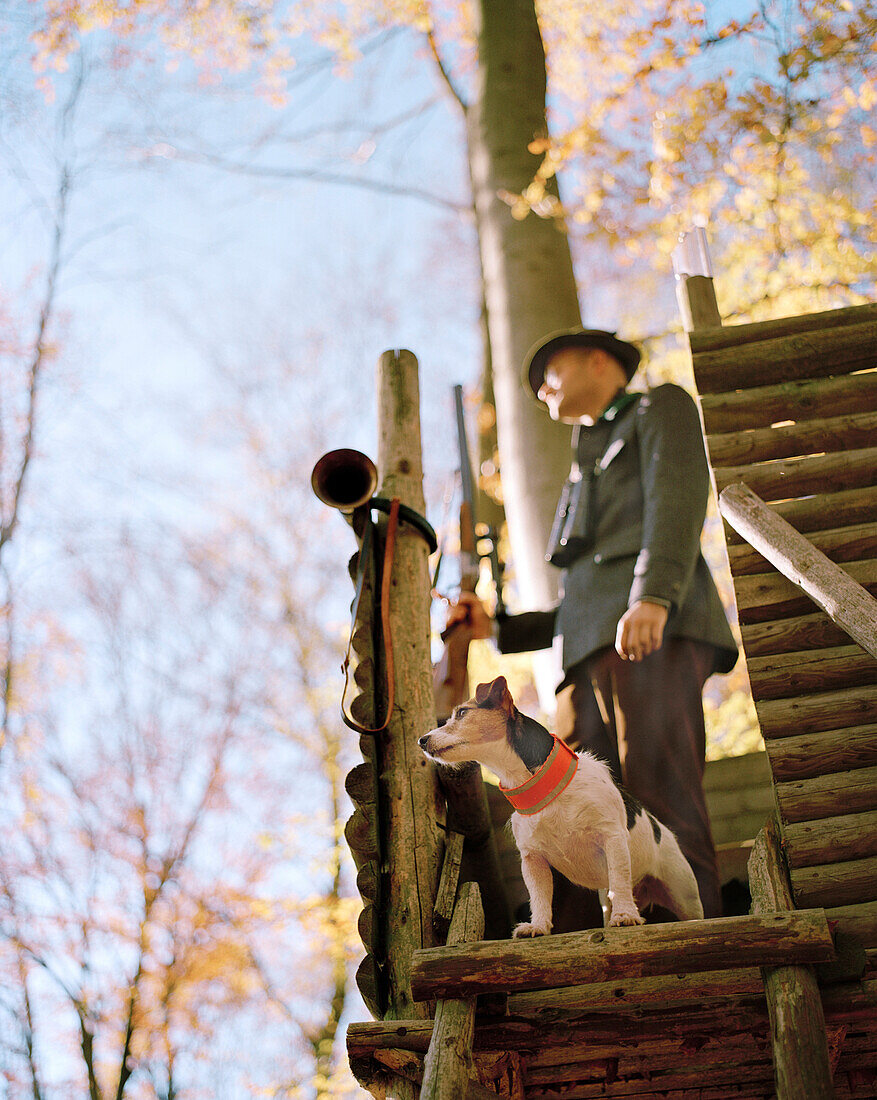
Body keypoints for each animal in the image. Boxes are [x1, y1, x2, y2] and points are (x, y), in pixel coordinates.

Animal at [418, 673, 704, 932]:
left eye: (462, 712)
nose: (421, 740)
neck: (545, 785)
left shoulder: (612, 838)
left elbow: (620, 880)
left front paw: (625, 916)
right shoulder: (532, 858)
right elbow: (539, 897)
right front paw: (538, 927)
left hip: (684, 894)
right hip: (607, 898)